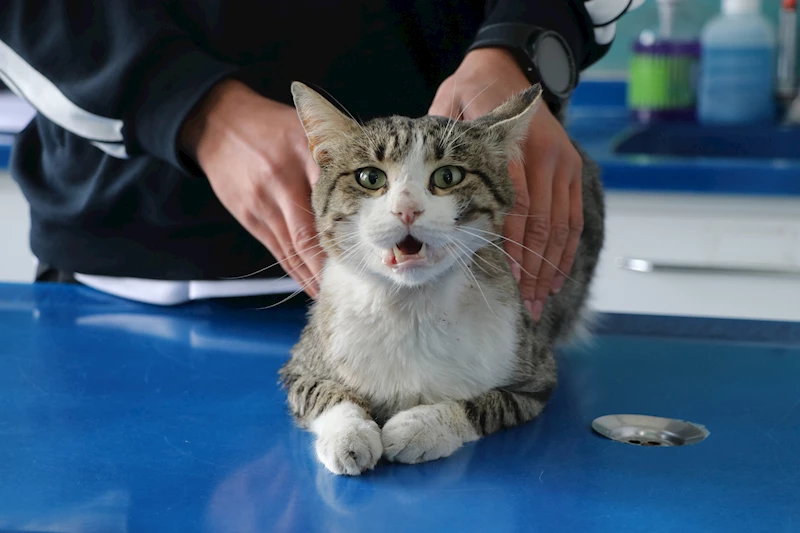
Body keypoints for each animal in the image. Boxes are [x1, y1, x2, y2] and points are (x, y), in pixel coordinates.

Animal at [278, 82, 604, 474]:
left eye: (448, 176)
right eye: (370, 177)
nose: (407, 209)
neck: (409, 307)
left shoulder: (535, 378)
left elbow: (485, 404)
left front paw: (422, 426)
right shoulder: (301, 365)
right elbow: (325, 393)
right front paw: (349, 434)